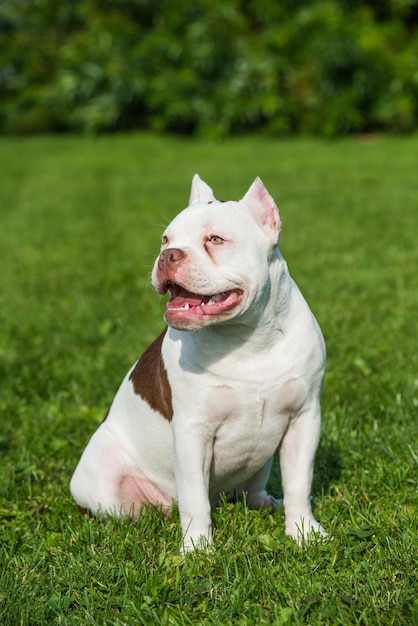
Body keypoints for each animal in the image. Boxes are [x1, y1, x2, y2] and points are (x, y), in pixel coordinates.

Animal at [70, 173, 326, 548]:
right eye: (165, 239)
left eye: (215, 240)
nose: (167, 255)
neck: (247, 338)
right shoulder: (193, 431)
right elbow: (194, 498)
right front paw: (196, 548)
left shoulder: (304, 418)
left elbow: (299, 482)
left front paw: (305, 531)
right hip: (105, 478)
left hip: (262, 462)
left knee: (252, 489)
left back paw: (267, 502)